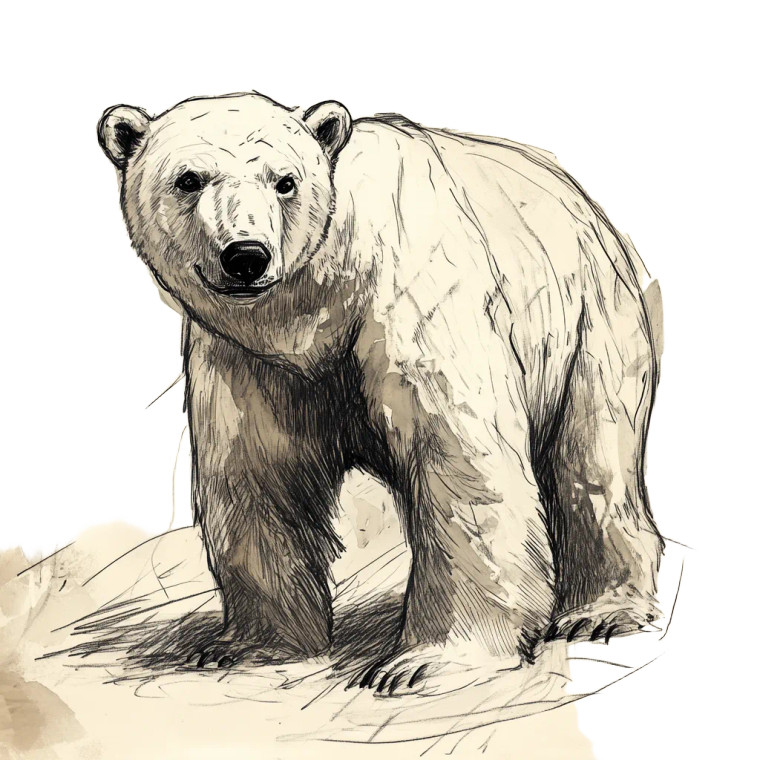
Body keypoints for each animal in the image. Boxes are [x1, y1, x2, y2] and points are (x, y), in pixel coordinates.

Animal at [97, 90, 664, 695]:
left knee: (594, 458)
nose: (246, 255)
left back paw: (601, 611)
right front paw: (249, 645)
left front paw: (425, 661)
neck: (318, 303)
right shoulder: (248, 361)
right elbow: (254, 475)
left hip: (587, 321)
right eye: (189, 178)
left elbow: (460, 463)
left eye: (285, 181)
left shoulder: (414, 305)